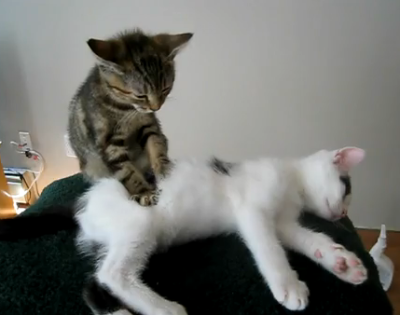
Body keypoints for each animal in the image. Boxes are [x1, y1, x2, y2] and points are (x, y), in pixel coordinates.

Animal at [68, 29, 193, 207]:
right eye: (140, 95)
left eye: (165, 89)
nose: (156, 107)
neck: (126, 109)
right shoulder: (109, 144)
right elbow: (127, 172)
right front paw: (144, 192)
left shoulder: (149, 126)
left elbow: (157, 148)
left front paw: (166, 174)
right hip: (92, 167)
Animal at [76, 148, 368, 315]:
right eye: (346, 188)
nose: (343, 215)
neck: (294, 182)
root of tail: (85, 206)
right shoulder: (253, 208)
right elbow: (270, 249)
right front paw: (289, 286)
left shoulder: (284, 223)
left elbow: (306, 238)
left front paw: (341, 262)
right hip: (139, 220)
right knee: (112, 274)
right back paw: (165, 310)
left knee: (93, 282)